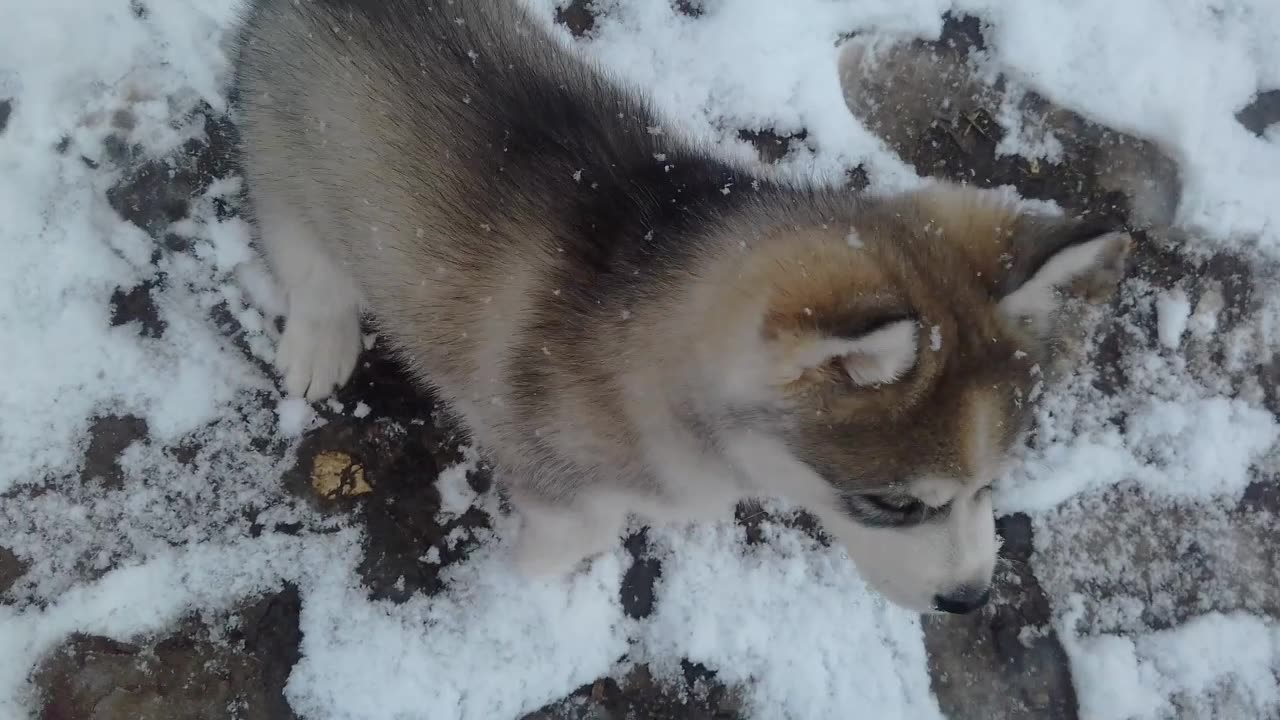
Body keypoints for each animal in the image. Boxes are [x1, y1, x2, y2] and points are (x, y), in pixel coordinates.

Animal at [232, 0, 1131, 609]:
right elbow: (571, 538)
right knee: (305, 257)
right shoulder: (555, 477)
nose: (971, 600)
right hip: (288, 167)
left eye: (992, 485)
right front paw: (531, 585)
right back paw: (320, 339)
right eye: (895, 504)